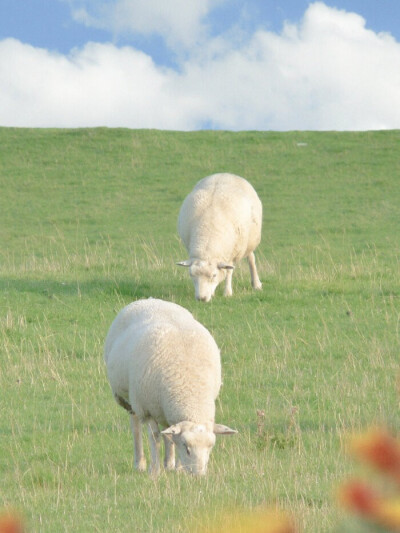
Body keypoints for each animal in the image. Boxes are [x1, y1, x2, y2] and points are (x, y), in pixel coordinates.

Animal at [104, 298, 238, 476]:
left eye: (210, 448)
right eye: (187, 448)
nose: (199, 476)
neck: (190, 390)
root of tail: (148, 300)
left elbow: (171, 437)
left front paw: (177, 469)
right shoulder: (146, 409)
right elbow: (155, 438)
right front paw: (154, 471)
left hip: (163, 408)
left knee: (167, 432)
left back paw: (169, 463)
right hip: (130, 400)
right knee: (136, 427)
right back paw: (140, 463)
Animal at [178, 172, 262, 302]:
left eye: (214, 275)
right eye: (191, 275)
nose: (201, 299)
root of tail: (226, 174)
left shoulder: (231, 254)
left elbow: (228, 272)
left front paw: (227, 292)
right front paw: (212, 293)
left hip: (249, 241)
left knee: (251, 258)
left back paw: (256, 284)